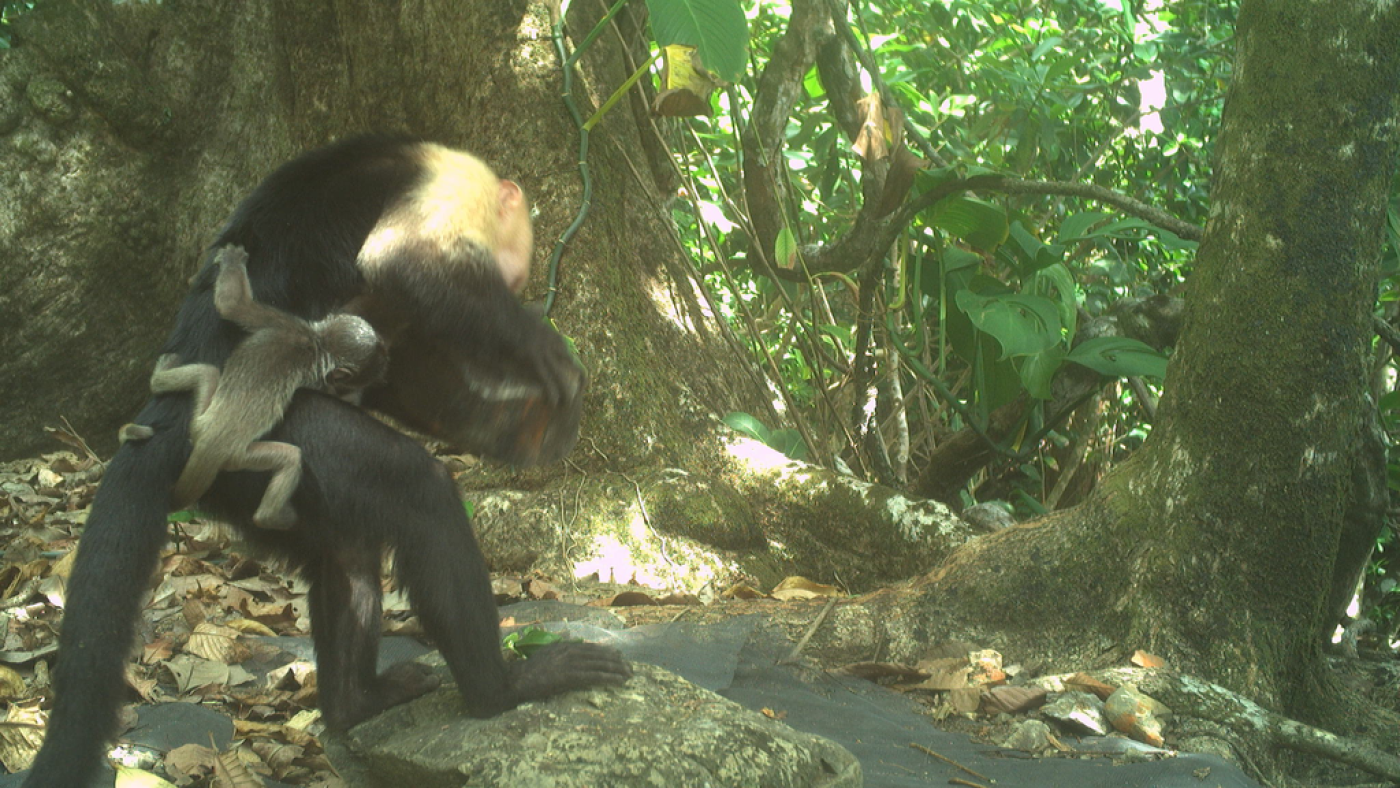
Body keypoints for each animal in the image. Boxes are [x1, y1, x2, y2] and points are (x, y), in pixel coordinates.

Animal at [149, 244, 388, 530]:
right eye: (374, 367)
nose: (385, 361)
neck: (316, 342)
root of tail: (210, 442)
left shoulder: (284, 323)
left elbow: (233, 307)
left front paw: (230, 264)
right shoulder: (316, 371)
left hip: (198, 423)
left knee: (207, 372)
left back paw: (158, 380)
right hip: (239, 458)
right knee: (290, 458)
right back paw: (273, 517)